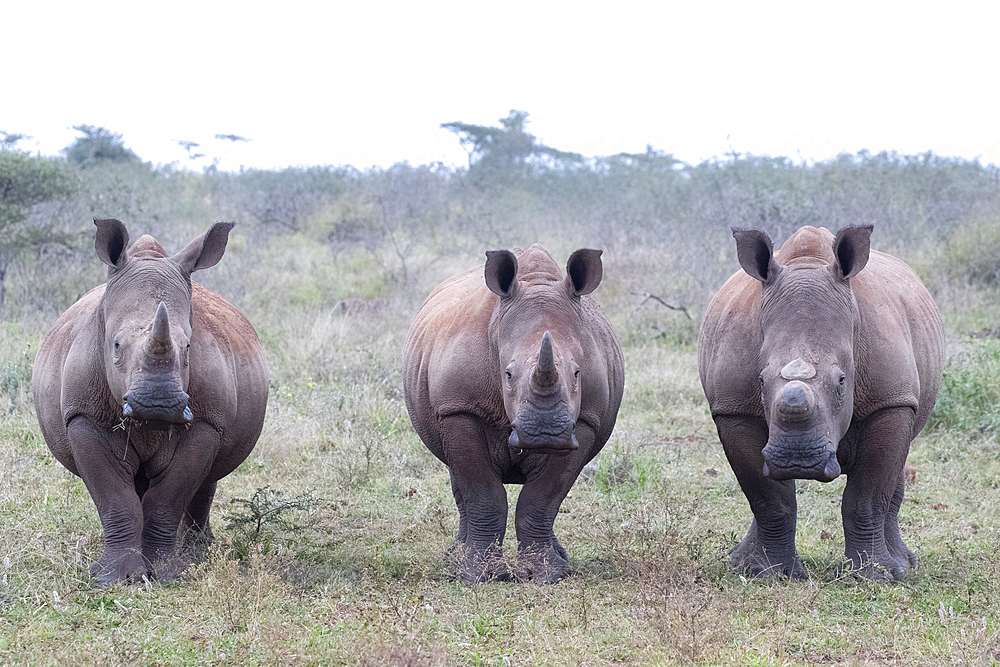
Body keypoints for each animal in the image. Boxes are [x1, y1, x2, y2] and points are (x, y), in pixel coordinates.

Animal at [32, 219, 268, 584]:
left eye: (188, 347)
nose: (158, 405)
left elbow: (167, 499)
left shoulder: (206, 422)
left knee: (204, 481)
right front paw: (114, 578)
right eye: (115, 345)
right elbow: (115, 498)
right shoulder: (82, 417)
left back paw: (199, 553)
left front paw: (168, 573)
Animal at [402, 245, 620, 584]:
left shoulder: (586, 420)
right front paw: (479, 574)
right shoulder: (459, 408)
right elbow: (482, 493)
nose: (545, 434)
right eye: (507, 374)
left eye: (577, 373)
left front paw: (545, 574)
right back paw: (454, 562)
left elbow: (543, 498)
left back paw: (562, 561)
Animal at [700, 223, 940, 580]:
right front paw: (771, 575)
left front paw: (873, 577)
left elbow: (867, 497)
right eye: (760, 380)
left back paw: (902, 565)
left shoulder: (892, 400)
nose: (797, 460)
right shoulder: (734, 408)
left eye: (841, 381)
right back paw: (743, 563)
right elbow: (767, 498)